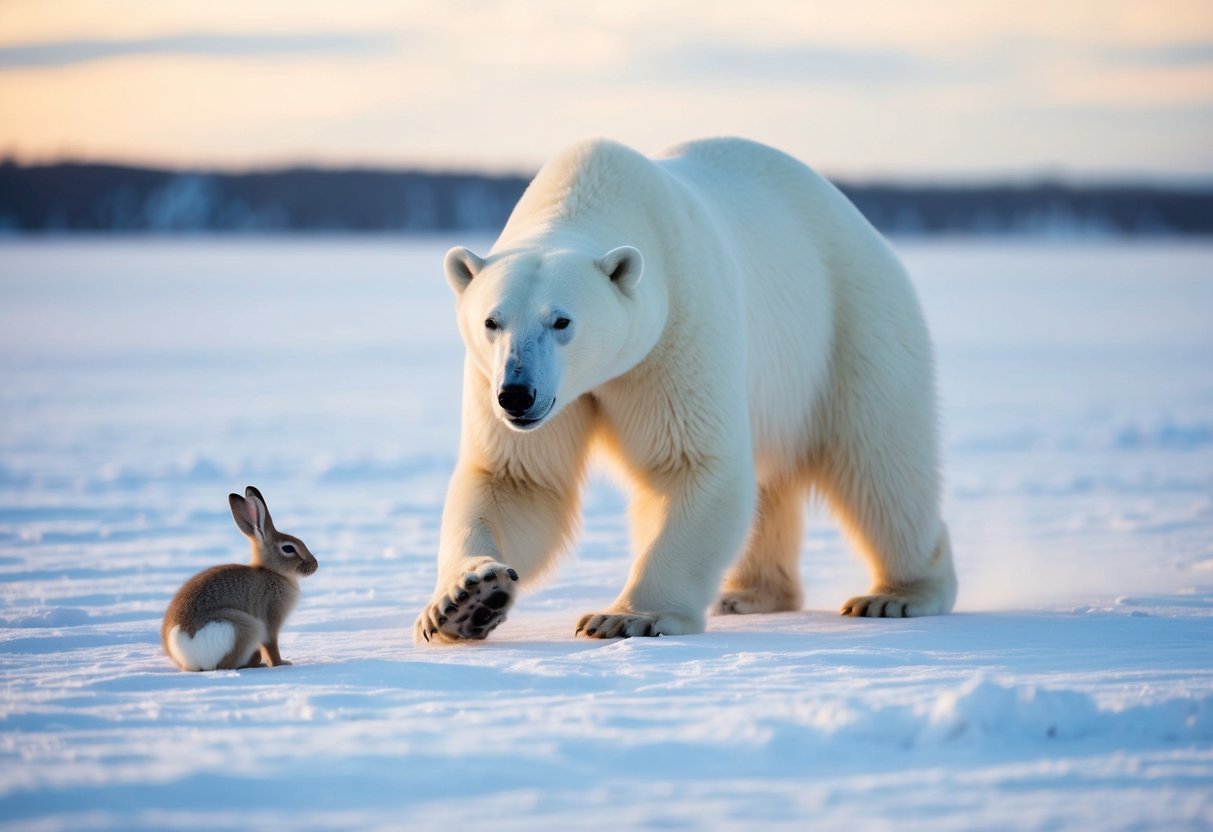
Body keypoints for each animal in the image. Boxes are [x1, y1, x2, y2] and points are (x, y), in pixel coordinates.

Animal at [162, 486, 318, 671]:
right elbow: (271, 644)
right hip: (245, 627)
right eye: (288, 548)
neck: (272, 572)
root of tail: (185, 651)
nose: (315, 565)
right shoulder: (269, 618)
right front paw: (281, 664)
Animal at [413, 136, 957, 643]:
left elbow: (692, 461)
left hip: (849, 324)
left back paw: (896, 595)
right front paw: (464, 600)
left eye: (562, 320)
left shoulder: (675, 330)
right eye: (492, 321)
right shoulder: (507, 382)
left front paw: (627, 618)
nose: (516, 394)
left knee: (881, 463)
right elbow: (515, 479)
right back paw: (748, 594)